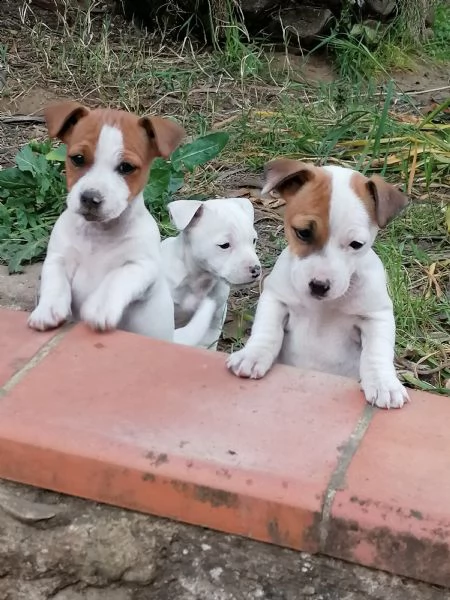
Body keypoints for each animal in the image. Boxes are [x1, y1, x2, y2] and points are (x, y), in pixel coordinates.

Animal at [27, 101, 185, 340]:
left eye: (126, 167)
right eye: (78, 159)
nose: (90, 198)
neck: (98, 233)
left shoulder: (143, 267)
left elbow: (117, 277)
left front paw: (99, 307)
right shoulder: (58, 259)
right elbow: (54, 283)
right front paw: (47, 310)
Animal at [161, 197, 260, 350]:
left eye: (253, 240)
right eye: (224, 245)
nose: (256, 269)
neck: (199, 280)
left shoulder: (216, 315)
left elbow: (207, 341)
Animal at [229, 157, 412, 410]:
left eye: (357, 244)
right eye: (303, 233)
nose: (319, 285)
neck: (322, 308)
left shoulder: (376, 316)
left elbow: (377, 351)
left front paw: (384, 383)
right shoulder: (276, 299)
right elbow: (266, 330)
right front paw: (253, 354)